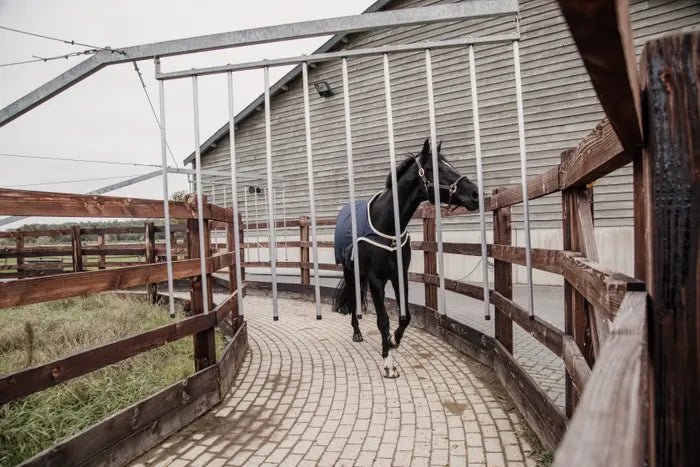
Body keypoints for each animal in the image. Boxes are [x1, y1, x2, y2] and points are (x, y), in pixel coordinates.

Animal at [330, 137, 478, 378]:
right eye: (436, 169)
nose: (475, 193)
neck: (386, 224)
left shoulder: (400, 276)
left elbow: (404, 317)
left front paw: (393, 342)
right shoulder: (375, 279)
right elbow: (383, 320)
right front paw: (388, 362)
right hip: (350, 271)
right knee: (353, 298)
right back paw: (357, 333)